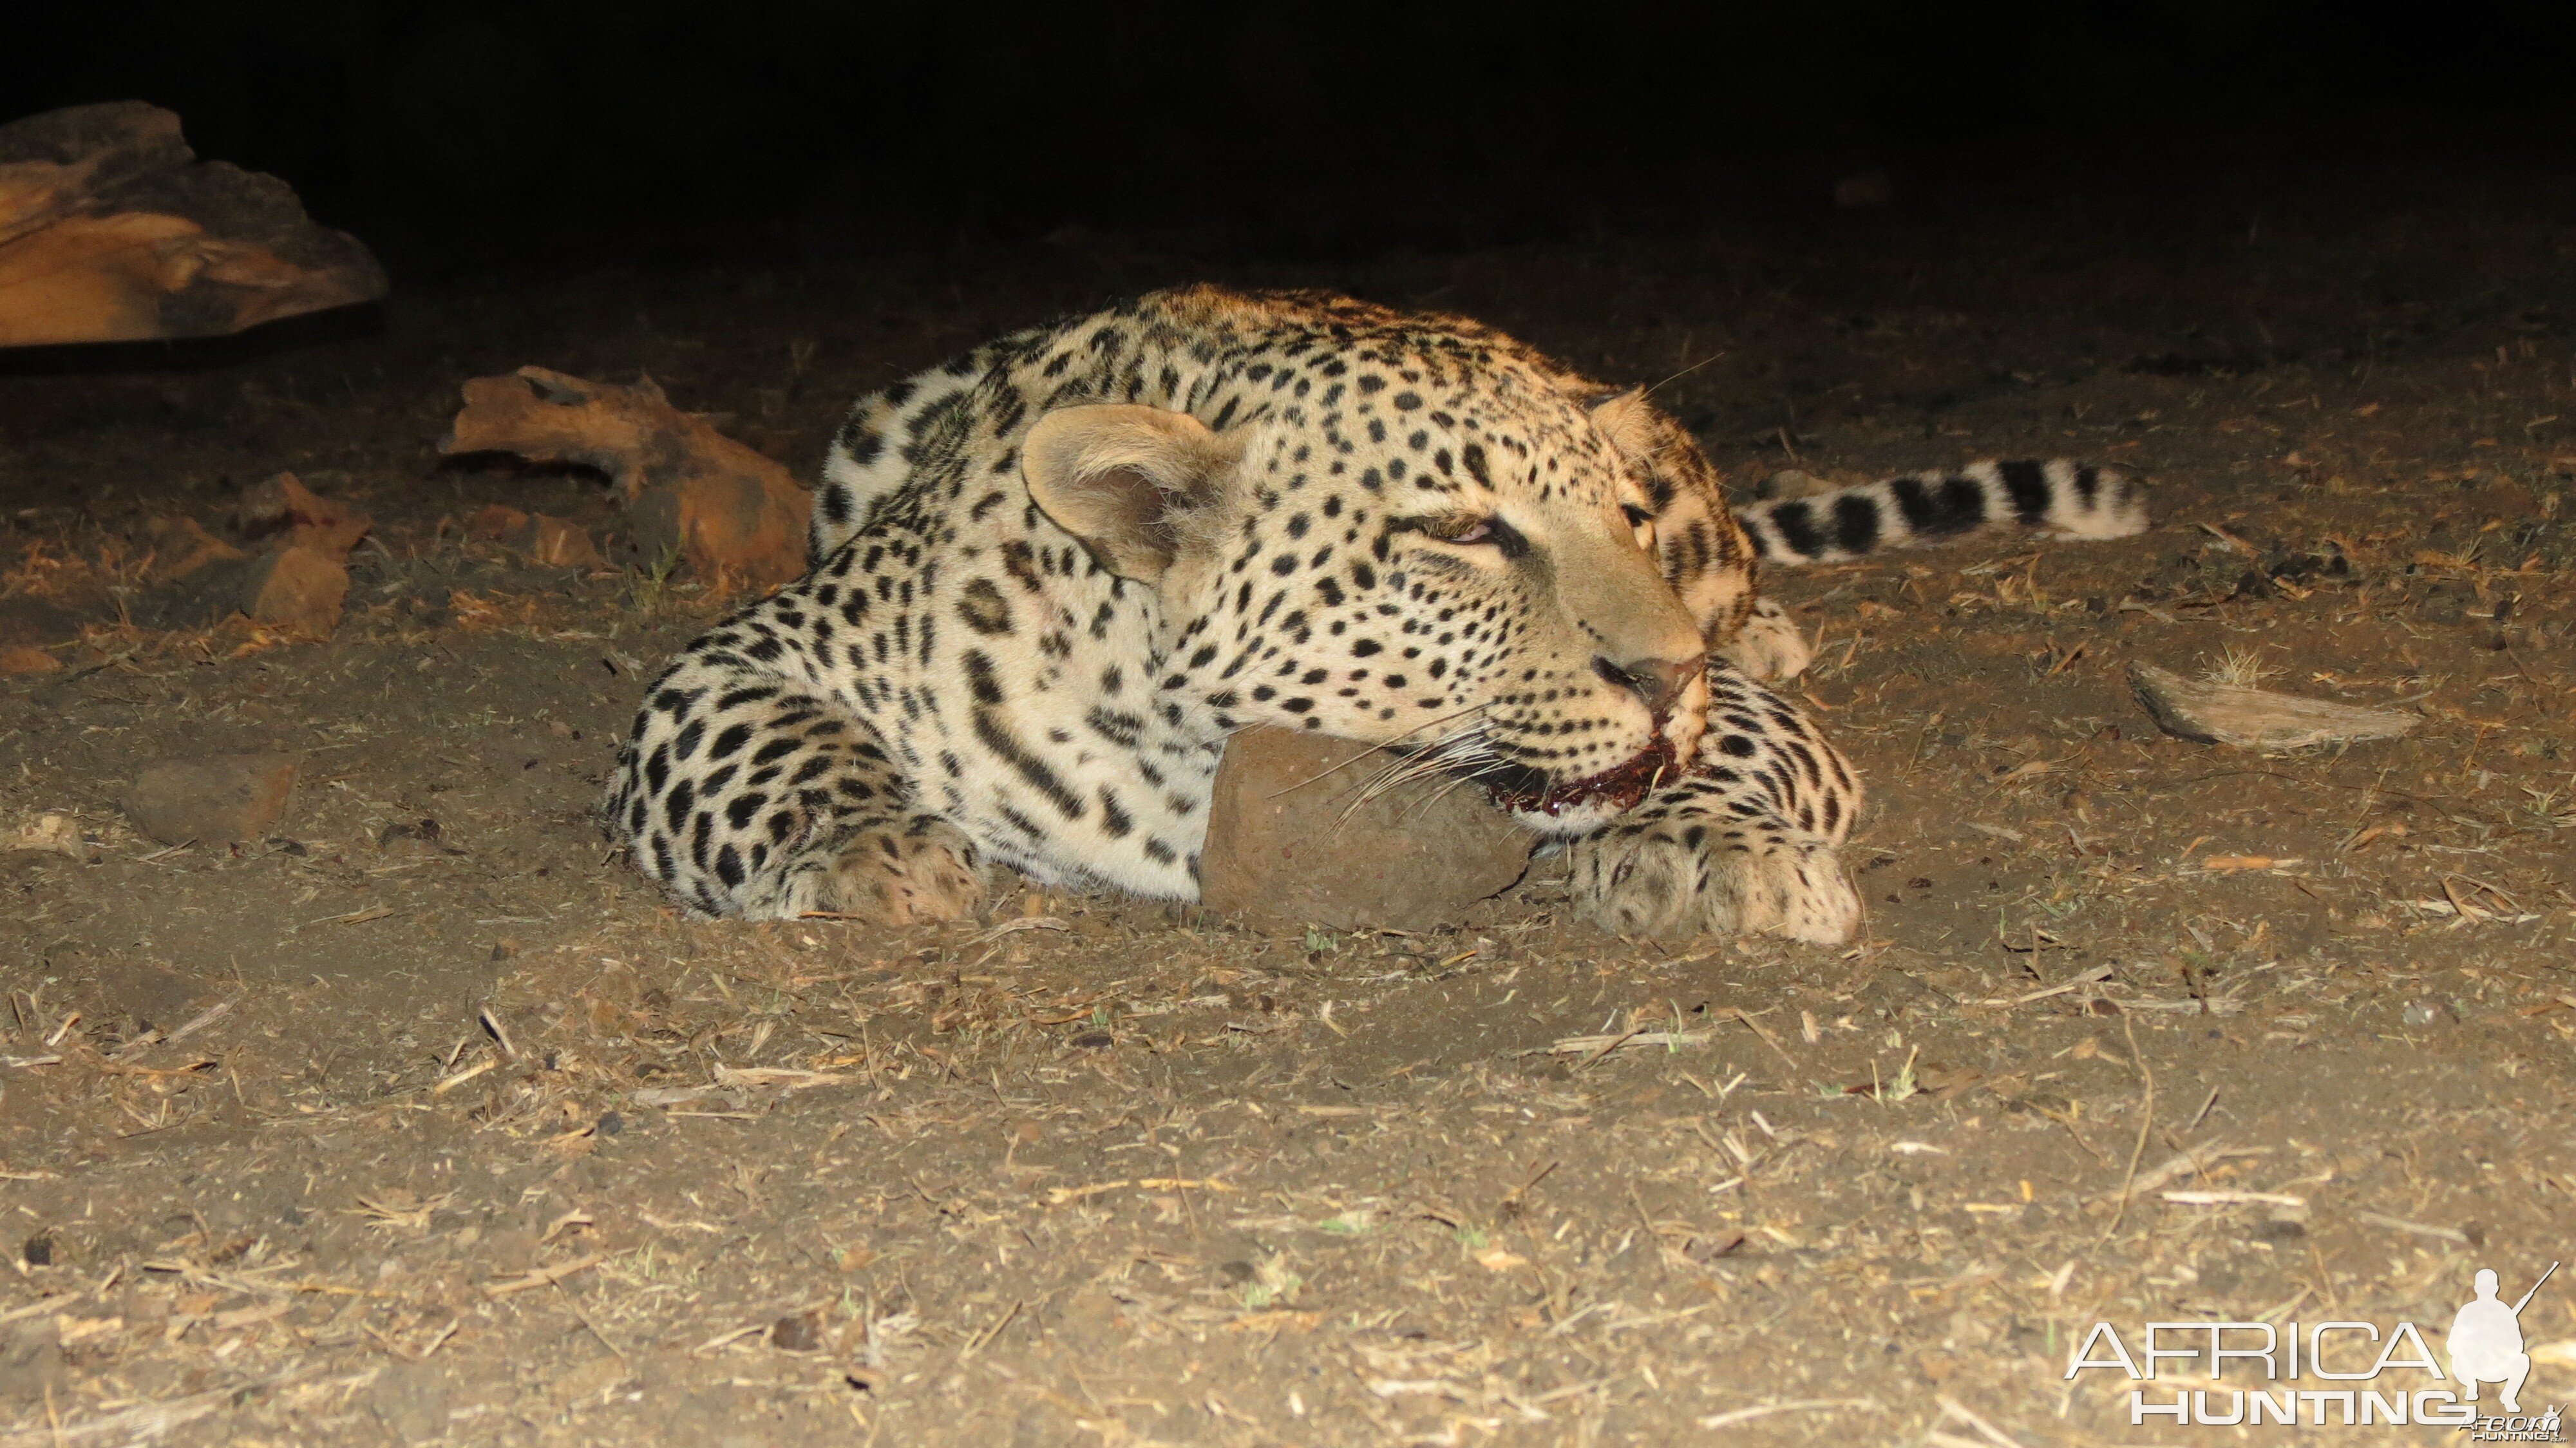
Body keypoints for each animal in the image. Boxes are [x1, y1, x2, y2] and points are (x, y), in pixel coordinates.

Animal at [603, 285, 2154, 938]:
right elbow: (779, 748)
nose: (1669, 669)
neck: (1185, 753)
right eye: (1464, 535)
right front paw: (871, 850)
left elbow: (1720, 754)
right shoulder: (745, 656)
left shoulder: (1744, 709)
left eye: (1622, 520)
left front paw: (1712, 848)